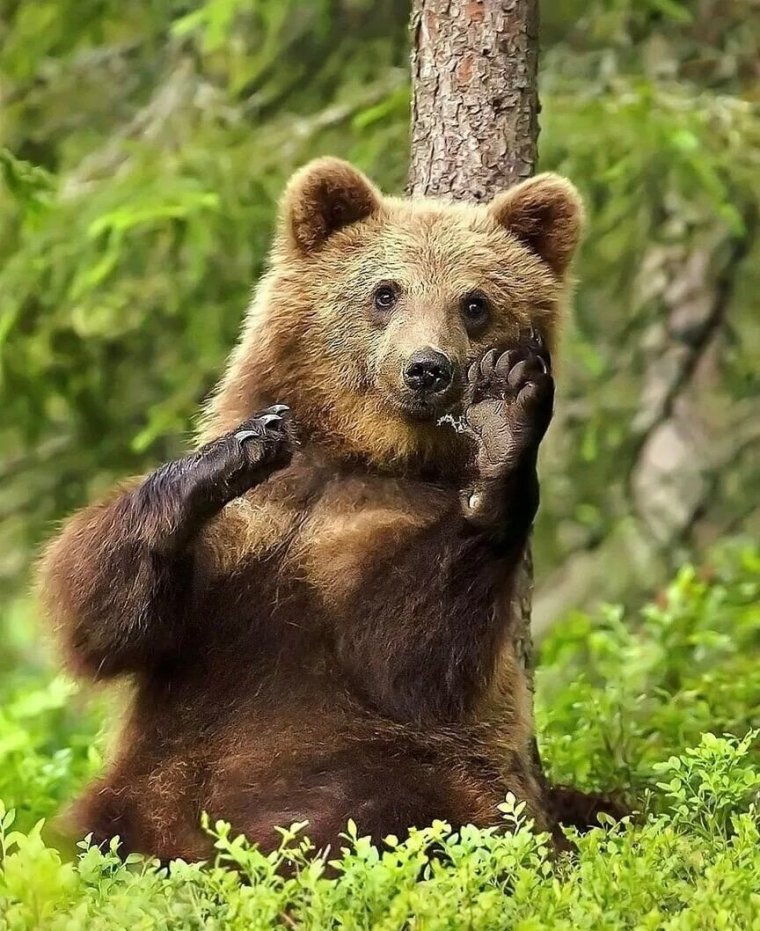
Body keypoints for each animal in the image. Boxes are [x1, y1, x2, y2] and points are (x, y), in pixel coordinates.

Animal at [38, 157, 586, 862]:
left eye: (475, 303)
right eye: (386, 292)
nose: (427, 368)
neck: (360, 454)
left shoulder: (380, 536)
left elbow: (410, 662)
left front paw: (501, 421)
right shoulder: (247, 537)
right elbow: (107, 616)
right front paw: (233, 451)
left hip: (404, 772)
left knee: (392, 806)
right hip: (145, 784)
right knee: (75, 833)